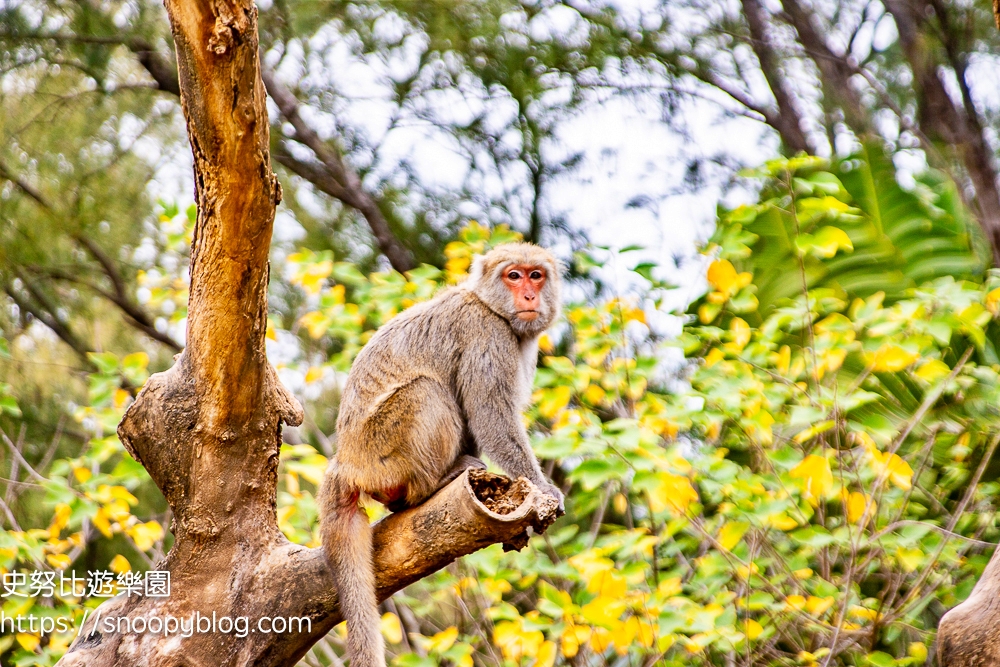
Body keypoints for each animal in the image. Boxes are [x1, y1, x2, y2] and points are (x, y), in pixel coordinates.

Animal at [318, 243, 564, 667]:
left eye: (536, 276)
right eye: (513, 276)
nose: (529, 297)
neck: (489, 305)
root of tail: (346, 462)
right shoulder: (487, 333)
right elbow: (490, 415)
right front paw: (543, 489)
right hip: (382, 446)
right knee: (426, 390)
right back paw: (433, 483)